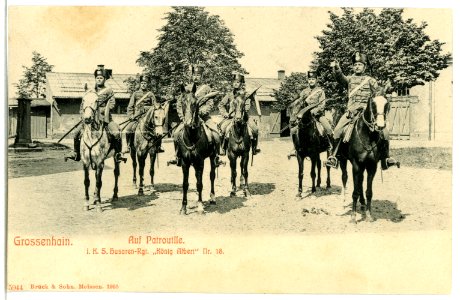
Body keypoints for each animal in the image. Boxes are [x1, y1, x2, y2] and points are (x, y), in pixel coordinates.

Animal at [177, 83, 218, 214]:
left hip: (212, 157)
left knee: (211, 175)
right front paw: (183, 207)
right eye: (182, 102)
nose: (188, 122)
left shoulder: (200, 162)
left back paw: (212, 198)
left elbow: (200, 184)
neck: (191, 136)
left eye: (195, 103)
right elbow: (185, 184)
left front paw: (200, 206)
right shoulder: (185, 162)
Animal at [336, 95, 390, 224]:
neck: (368, 136)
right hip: (343, 160)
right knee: (344, 178)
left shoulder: (372, 166)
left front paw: (369, 215)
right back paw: (343, 205)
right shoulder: (356, 164)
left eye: (386, 104)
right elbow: (354, 192)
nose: (380, 126)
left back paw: (362, 203)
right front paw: (353, 217)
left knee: (360, 181)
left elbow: (369, 191)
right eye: (373, 104)